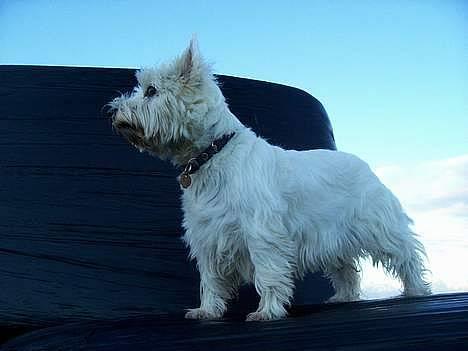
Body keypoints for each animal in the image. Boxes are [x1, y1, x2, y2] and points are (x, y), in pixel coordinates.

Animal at [109, 38, 428, 322]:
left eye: (151, 91)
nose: (114, 111)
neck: (213, 153)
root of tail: (363, 163)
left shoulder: (261, 233)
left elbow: (268, 272)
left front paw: (267, 312)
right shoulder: (207, 236)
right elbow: (210, 279)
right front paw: (207, 311)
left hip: (379, 227)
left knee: (407, 256)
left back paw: (417, 291)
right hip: (334, 237)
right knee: (346, 270)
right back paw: (342, 298)